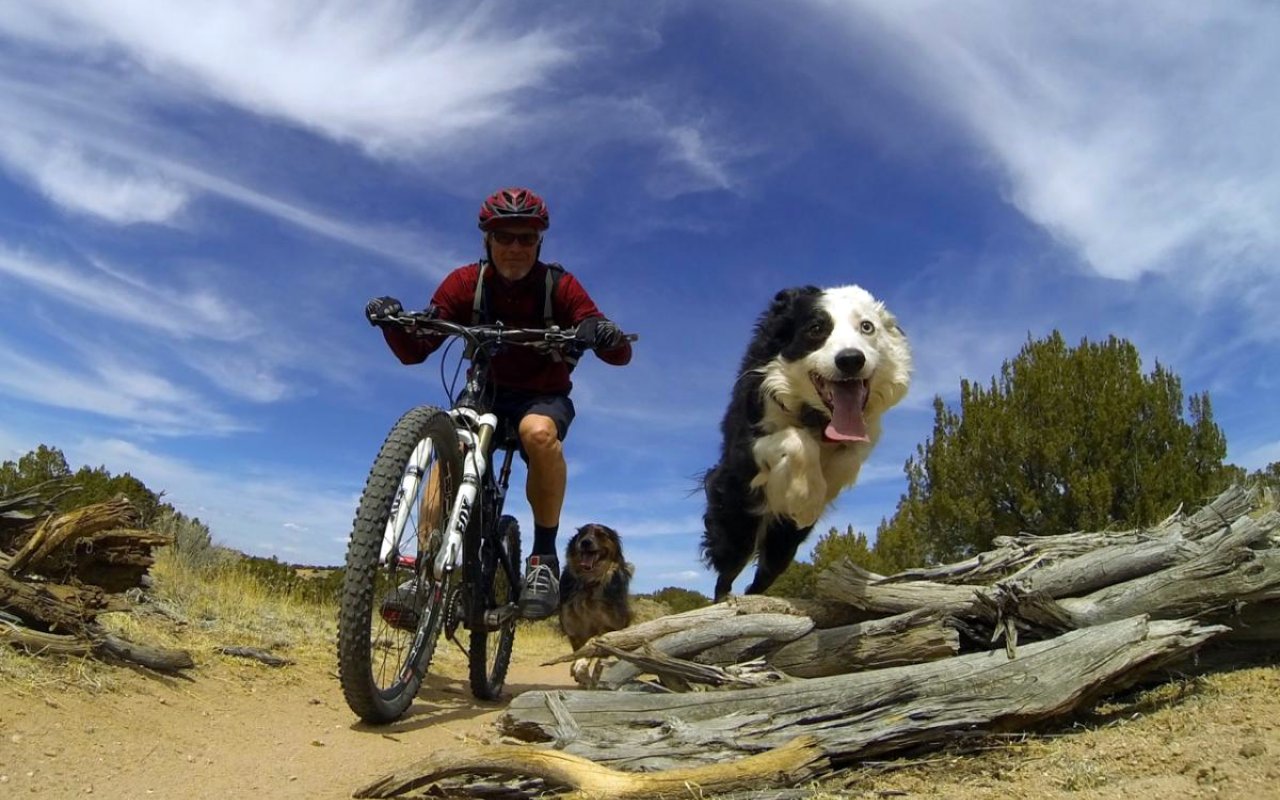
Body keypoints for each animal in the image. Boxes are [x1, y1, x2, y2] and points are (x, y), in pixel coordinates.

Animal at [558, 522, 632, 652]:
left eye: (601, 534)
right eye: (582, 533)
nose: (585, 542)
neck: (589, 581)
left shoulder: (612, 625)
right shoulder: (575, 631)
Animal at [701, 284, 911, 596]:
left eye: (867, 327)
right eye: (816, 329)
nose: (851, 359)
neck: (817, 415)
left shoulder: (862, 433)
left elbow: (851, 454)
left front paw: (825, 486)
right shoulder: (741, 452)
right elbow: (798, 440)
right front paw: (805, 498)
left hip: (782, 545)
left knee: (760, 580)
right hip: (737, 528)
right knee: (725, 576)